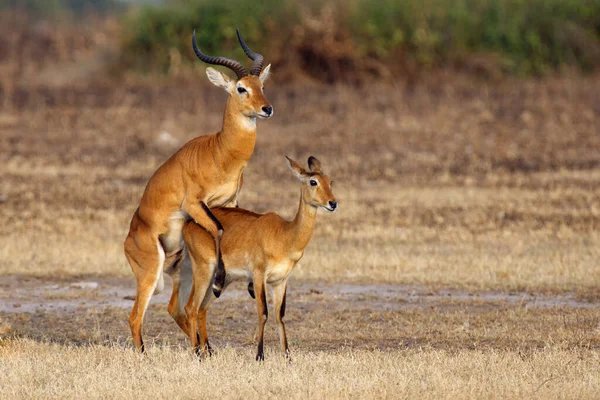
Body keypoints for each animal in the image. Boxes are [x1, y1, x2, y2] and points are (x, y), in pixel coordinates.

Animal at [171, 155, 336, 360]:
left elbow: (280, 316)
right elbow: (263, 312)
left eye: (330, 181)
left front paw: (288, 357)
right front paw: (259, 356)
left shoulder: (281, 280)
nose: (332, 203)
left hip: (221, 281)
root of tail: (188, 223)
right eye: (313, 181)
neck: (285, 235)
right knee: (191, 308)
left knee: (201, 309)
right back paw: (196, 355)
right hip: (204, 270)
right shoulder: (258, 276)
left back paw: (206, 354)